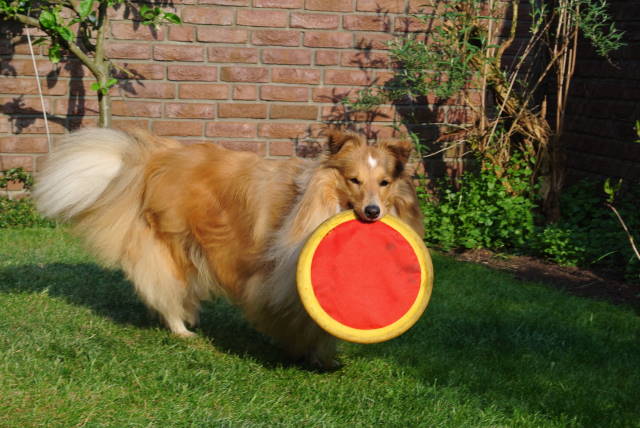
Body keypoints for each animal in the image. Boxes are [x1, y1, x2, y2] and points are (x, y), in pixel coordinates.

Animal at [33, 127, 423, 368]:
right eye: (353, 180)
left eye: (385, 182)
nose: (373, 212)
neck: (317, 200)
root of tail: (153, 158)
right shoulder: (280, 277)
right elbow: (304, 321)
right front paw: (310, 353)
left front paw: (323, 357)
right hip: (173, 246)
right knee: (165, 289)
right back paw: (182, 330)